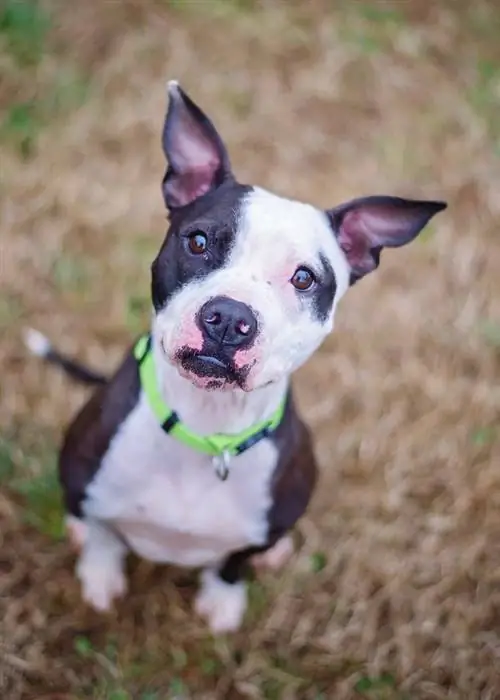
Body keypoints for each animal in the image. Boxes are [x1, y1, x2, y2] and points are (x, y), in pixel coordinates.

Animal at [24, 82, 446, 636]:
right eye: (198, 241)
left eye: (304, 277)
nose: (228, 319)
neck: (208, 425)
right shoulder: (86, 484)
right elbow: (101, 535)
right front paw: (99, 578)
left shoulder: (262, 524)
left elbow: (233, 562)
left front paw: (223, 603)